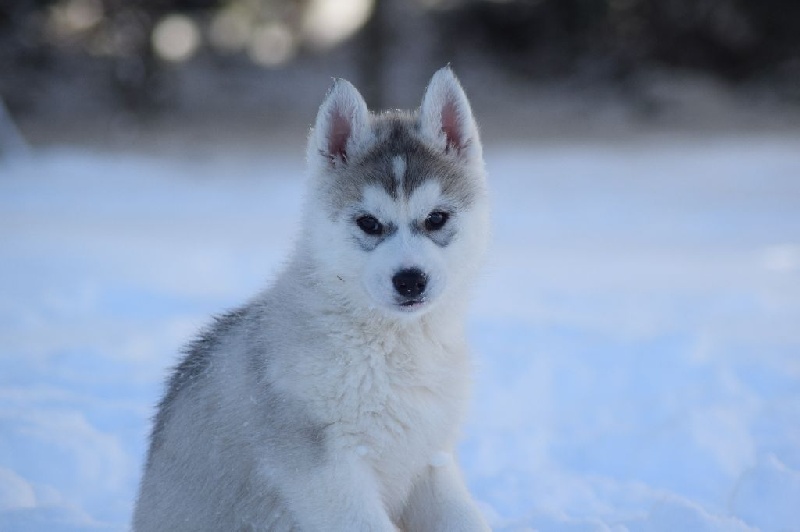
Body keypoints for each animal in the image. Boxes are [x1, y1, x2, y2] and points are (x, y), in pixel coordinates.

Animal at [134, 67, 490, 532]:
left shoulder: (431, 460)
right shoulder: (329, 473)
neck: (392, 348)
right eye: (369, 223)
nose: (410, 281)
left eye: (436, 219)